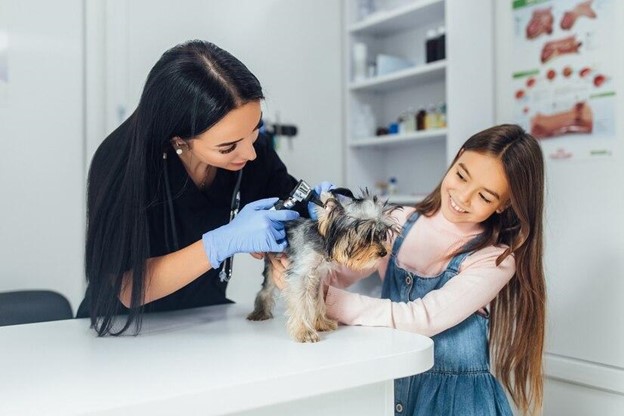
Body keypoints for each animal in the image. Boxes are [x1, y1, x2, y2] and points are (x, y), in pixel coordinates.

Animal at [245, 190, 398, 342]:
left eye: (380, 233)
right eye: (367, 234)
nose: (384, 252)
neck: (323, 244)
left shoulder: (318, 276)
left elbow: (317, 299)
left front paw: (321, 322)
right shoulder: (300, 275)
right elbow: (301, 302)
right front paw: (304, 331)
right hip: (271, 263)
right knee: (266, 288)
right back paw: (260, 312)